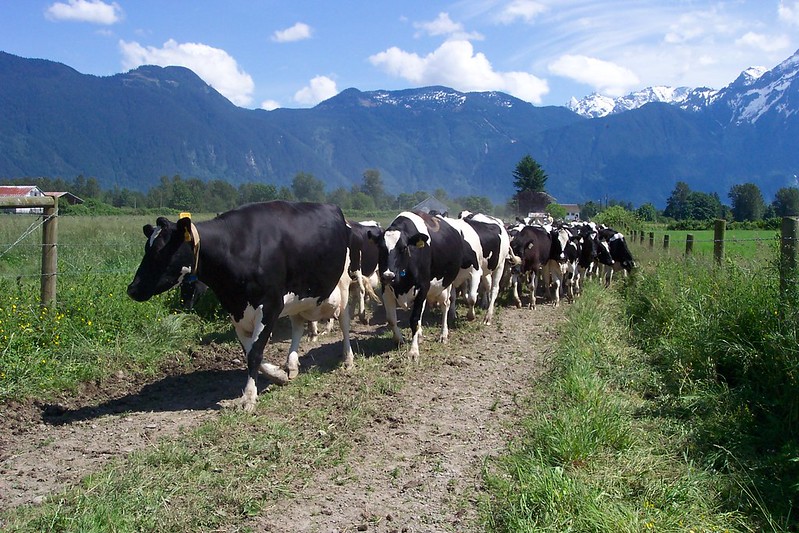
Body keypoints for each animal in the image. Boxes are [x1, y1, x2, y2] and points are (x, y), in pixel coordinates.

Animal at [127, 201, 354, 412]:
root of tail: (334, 208)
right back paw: (291, 365)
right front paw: (278, 375)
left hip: (343, 285)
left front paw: (249, 397)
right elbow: (249, 351)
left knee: (344, 322)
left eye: (160, 251)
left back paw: (348, 359)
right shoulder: (236, 311)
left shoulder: (269, 306)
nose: (132, 289)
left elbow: (255, 353)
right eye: (147, 248)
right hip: (298, 298)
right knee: (297, 326)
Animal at [369, 211, 464, 360]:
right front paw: (399, 340)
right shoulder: (386, 289)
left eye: (403, 248)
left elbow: (414, 320)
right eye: (380, 247)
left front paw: (413, 351)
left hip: (446, 284)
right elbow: (391, 319)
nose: (389, 276)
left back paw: (443, 334)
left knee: (445, 305)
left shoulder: (423, 288)